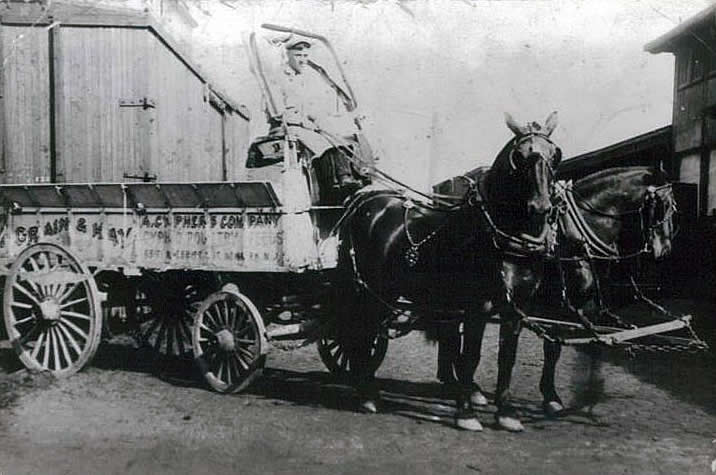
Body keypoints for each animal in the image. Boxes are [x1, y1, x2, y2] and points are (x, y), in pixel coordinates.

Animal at [336, 113, 564, 434]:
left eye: (555, 155)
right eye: (519, 156)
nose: (540, 207)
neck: (502, 239)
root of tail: (364, 201)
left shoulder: (515, 309)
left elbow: (507, 357)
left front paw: (506, 413)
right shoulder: (478, 307)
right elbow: (470, 357)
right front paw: (466, 412)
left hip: (384, 292)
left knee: (365, 333)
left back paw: (366, 390)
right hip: (370, 289)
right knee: (360, 333)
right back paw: (367, 395)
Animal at [440, 167, 680, 424]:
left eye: (673, 207)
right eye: (662, 205)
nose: (665, 250)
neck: (578, 235)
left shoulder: (588, 305)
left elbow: (594, 345)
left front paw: (587, 396)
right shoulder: (557, 306)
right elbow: (553, 350)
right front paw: (552, 397)